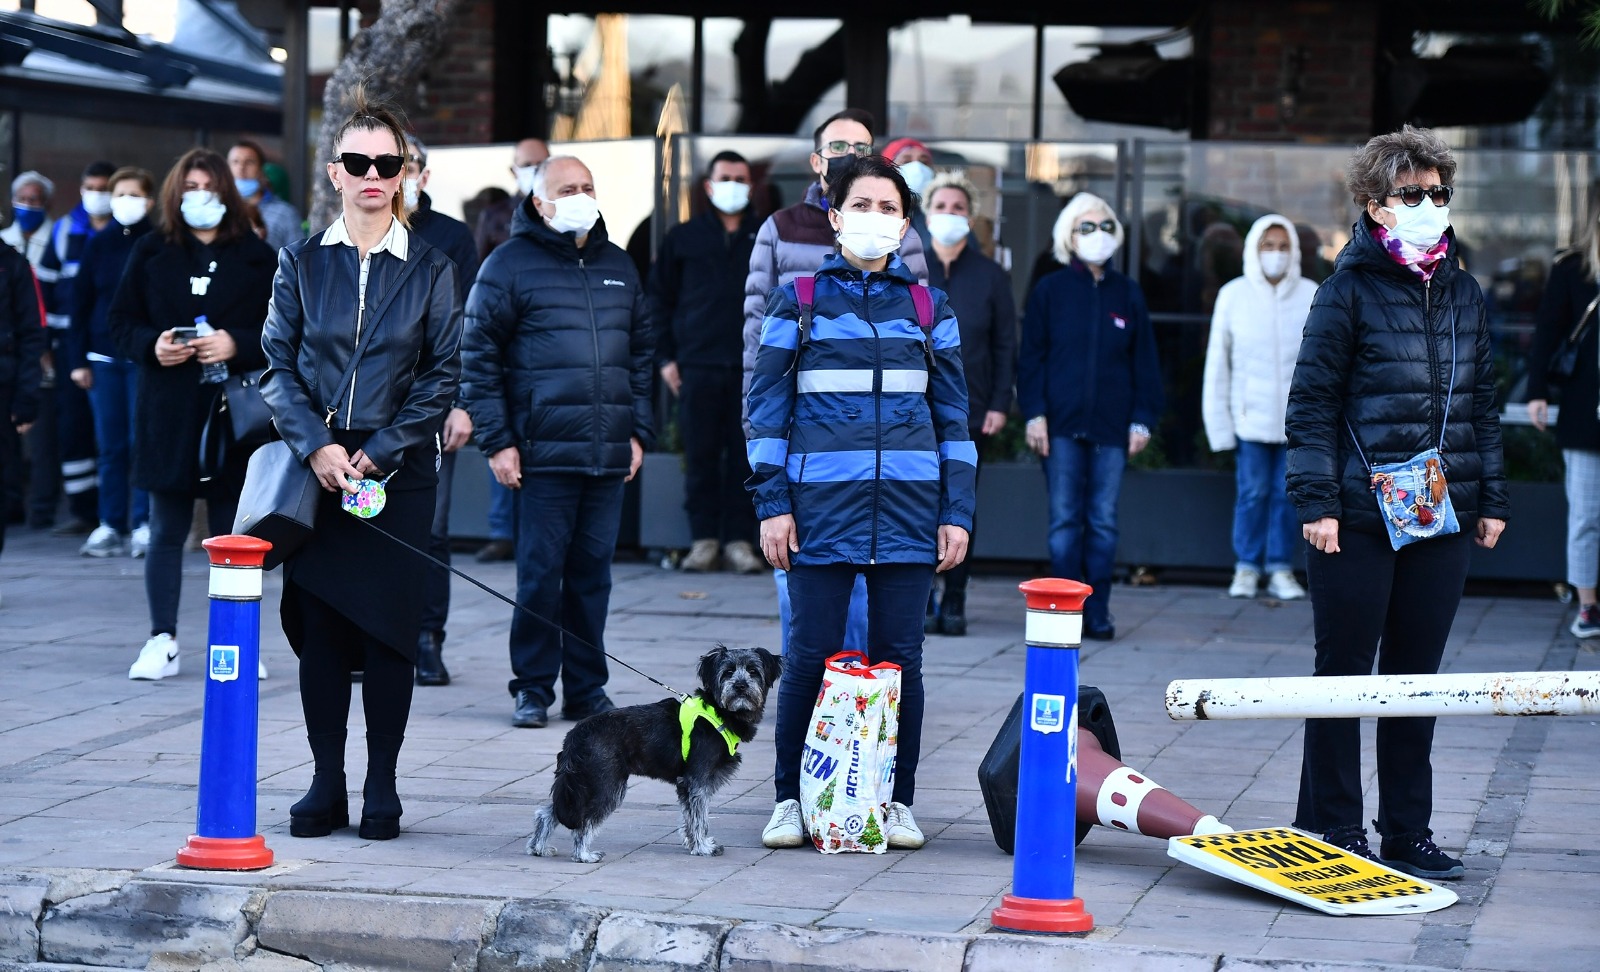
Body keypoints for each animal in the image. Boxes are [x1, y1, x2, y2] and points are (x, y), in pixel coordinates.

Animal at [528, 649, 784, 863]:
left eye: (753, 671)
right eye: (728, 671)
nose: (740, 686)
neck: (720, 710)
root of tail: (576, 733)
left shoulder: (687, 785)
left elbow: (689, 817)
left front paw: (694, 844)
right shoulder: (698, 781)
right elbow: (700, 818)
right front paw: (703, 847)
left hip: (583, 781)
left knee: (548, 812)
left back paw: (539, 847)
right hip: (605, 785)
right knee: (583, 821)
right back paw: (583, 855)